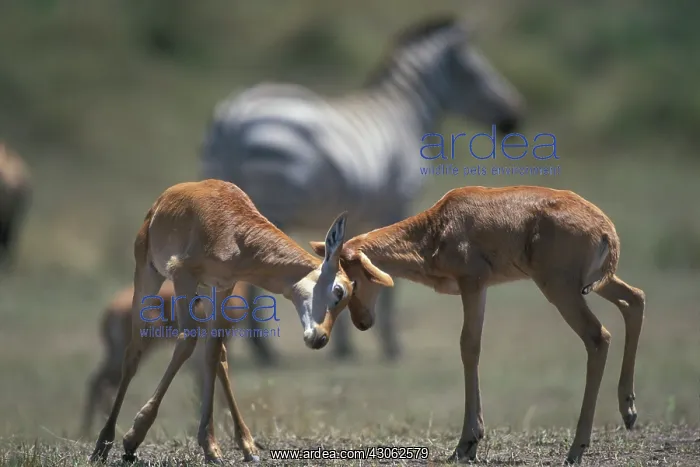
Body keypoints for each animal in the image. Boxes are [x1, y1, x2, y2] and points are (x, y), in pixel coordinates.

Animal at [309, 185, 645, 465]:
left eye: (348, 283)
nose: (363, 322)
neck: (440, 222)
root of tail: (606, 230)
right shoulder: (480, 287)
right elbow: (473, 346)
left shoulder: (472, 282)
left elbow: (468, 346)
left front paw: (465, 444)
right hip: (593, 283)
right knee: (635, 300)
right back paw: (628, 411)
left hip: (560, 288)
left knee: (598, 337)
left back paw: (577, 449)